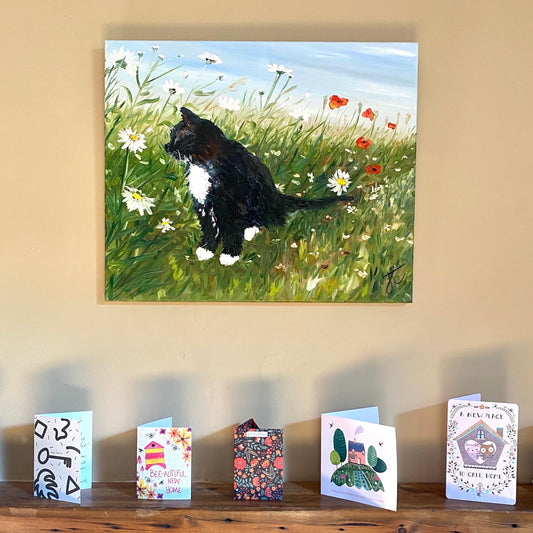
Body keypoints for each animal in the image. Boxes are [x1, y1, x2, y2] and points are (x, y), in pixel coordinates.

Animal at [164, 108, 352, 266]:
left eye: (176, 137)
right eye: (171, 136)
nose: (166, 147)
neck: (202, 164)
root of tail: (278, 197)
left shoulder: (233, 204)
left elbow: (232, 232)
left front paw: (229, 255)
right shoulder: (203, 204)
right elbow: (209, 227)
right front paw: (206, 250)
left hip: (260, 201)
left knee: (272, 220)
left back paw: (251, 230)